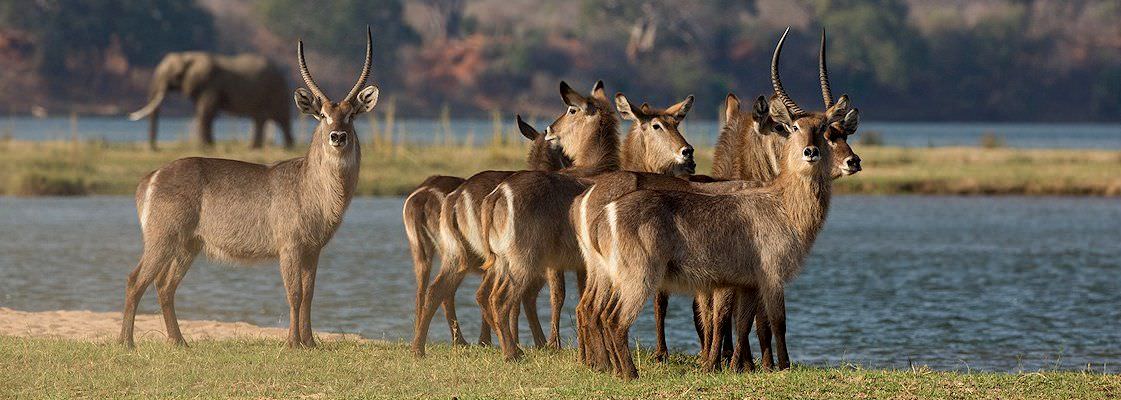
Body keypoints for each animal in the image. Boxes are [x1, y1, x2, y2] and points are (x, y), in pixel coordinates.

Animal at [128, 51, 293, 147]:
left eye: (176, 75)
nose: (154, 148)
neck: (189, 55)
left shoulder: (211, 83)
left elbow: (206, 111)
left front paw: (206, 146)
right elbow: (203, 111)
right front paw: (207, 145)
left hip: (277, 89)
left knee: (281, 118)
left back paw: (287, 146)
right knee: (259, 118)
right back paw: (254, 147)